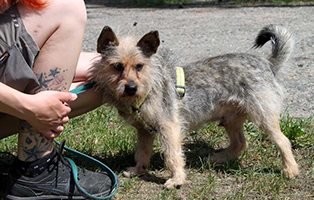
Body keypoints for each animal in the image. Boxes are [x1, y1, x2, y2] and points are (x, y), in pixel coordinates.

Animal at [90, 24, 300, 188]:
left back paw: (290, 169)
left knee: (283, 141)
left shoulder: (169, 128)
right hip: (231, 120)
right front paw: (138, 170)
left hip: (263, 116)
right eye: (117, 66)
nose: (131, 88)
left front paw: (177, 180)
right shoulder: (144, 131)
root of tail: (268, 63)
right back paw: (217, 158)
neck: (149, 87)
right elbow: (141, 153)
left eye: (139, 66)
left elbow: (173, 156)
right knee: (240, 143)